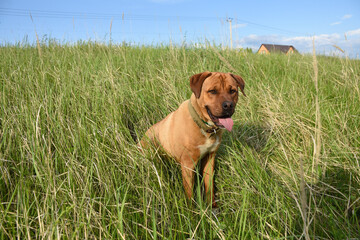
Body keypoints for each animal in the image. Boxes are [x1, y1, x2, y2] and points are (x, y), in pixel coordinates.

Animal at [139, 71, 246, 206]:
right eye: (212, 91)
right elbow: (189, 192)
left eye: (232, 91)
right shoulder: (188, 164)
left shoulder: (209, 158)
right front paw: (191, 209)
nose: (228, 105)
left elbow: (209, 185)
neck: (204, 127)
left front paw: (212, 206)